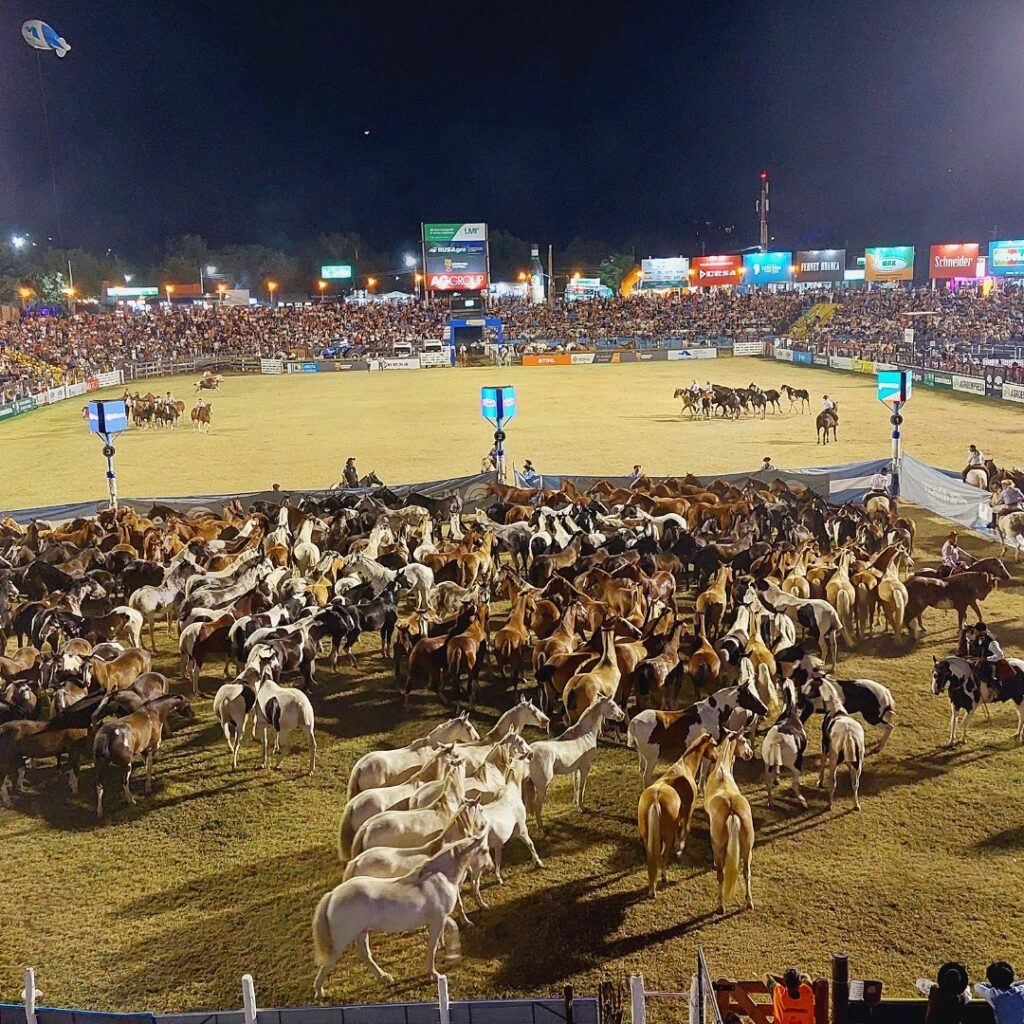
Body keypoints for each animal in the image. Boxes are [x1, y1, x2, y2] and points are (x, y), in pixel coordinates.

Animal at [309, 831, 493, 991]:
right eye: (485, 850)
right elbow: (433, 945)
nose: (490, 867)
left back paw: (384, 977)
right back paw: (319, 991)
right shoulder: (437, 919)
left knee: (365, 955)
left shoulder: (440, 918)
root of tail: (332, 895)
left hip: (361, 932)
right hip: (342, 939)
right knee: (330, 962)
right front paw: (434, 972)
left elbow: (449, 929)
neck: (440, 876)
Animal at [704, 737, 753, 913]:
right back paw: (749, 902)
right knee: (746, 872)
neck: (721, 770)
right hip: (747, 849)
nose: (750, 753)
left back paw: (721, 906)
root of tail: (732, 809)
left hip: (720, 849)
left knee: (721, 875)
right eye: (743, 741)